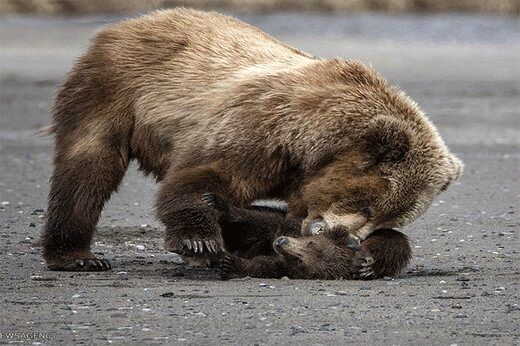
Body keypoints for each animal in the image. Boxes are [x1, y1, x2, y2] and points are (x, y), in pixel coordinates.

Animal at [42, 7, 462, 270]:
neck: (311, 149)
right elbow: (204, 176)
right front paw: (198, 242)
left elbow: (273, 223)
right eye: (369, 206)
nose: (347, 238)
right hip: (113, 89)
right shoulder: (263, 131)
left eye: (389, 216)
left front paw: (373, 256)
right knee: (88, 167)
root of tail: (132, 22)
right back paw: (78, 255)